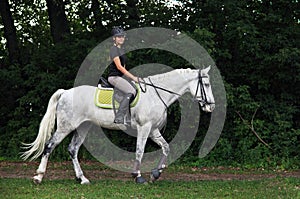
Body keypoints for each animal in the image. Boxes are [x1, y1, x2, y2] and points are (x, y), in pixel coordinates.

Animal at [21, 66, 214, 184]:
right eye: (205, 84)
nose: (211, 106)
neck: (155, 94)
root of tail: (66, 92)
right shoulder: (144, 128)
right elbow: (140, 151)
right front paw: (138, 176)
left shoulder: (153, 130)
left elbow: (166, 148)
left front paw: (156, 174)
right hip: (64, 127)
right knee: (49, 146)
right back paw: (39, 177)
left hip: (83, 127)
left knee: (72, 149)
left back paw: (82, 179)